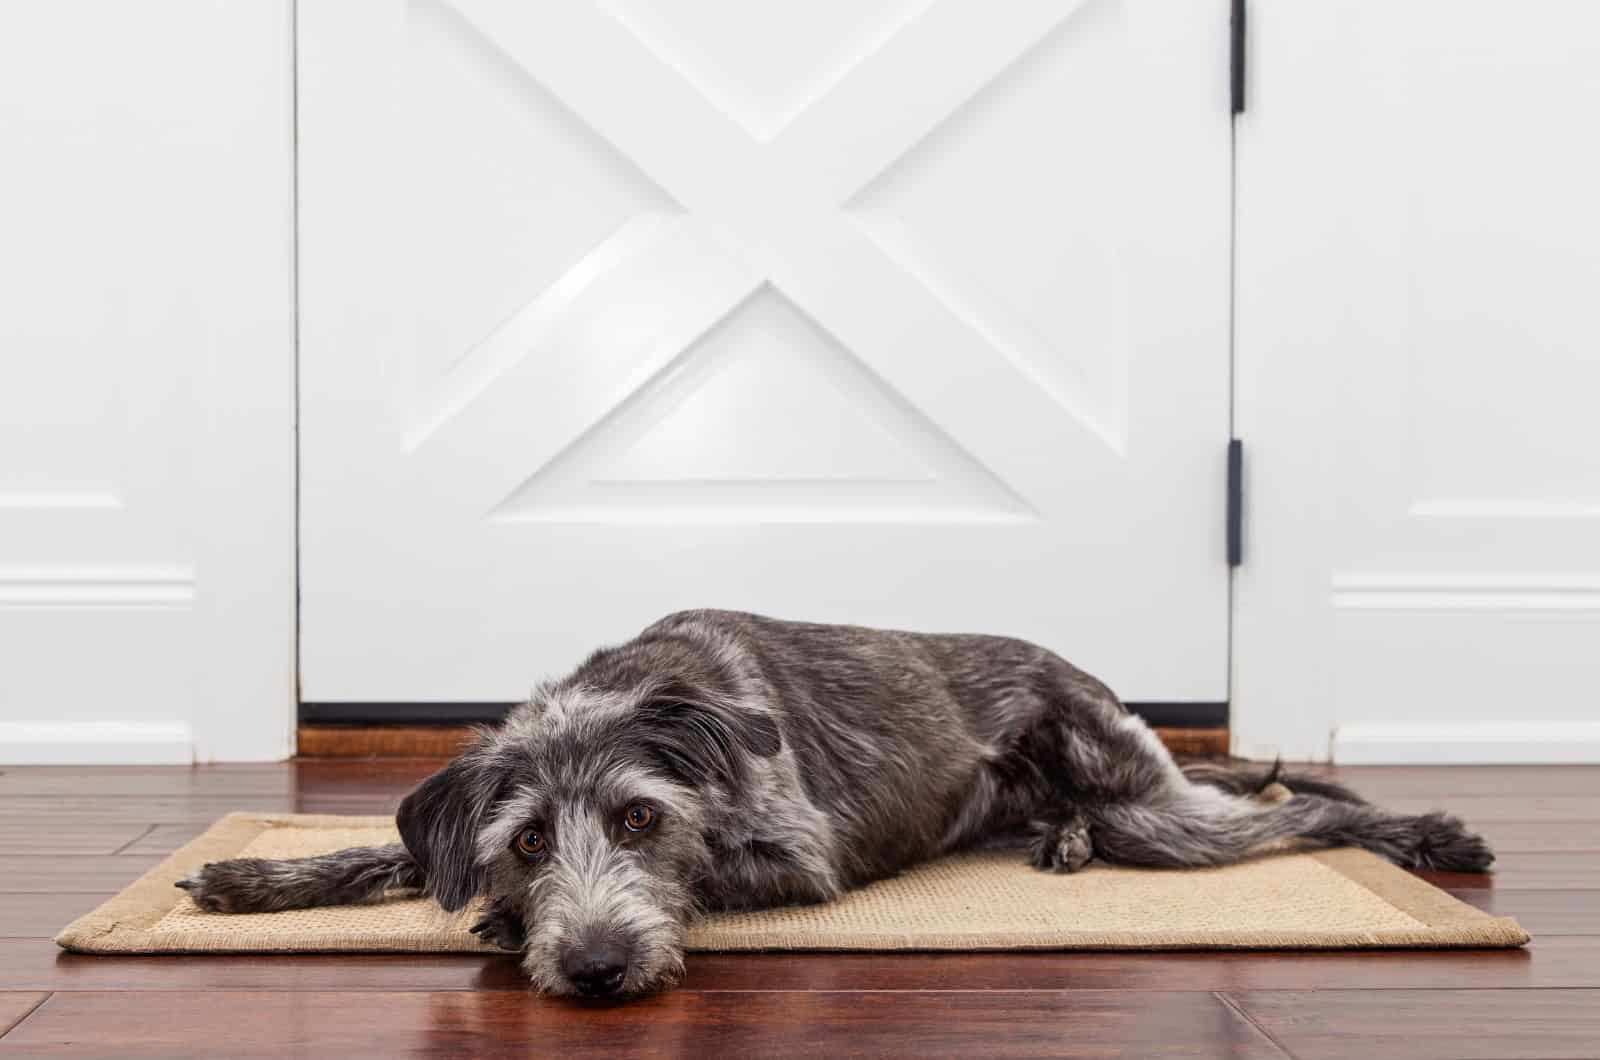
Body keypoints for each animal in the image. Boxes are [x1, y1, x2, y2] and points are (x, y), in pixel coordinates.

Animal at [181, 611, 1491, 999]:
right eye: (530, 837)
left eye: (642, 820)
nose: (598, 969)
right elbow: (389, 853)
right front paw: (251, 878)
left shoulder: (799, 861)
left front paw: (508, 927)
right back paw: (1056, 839)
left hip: (1150, 808)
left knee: (1297, 814)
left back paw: (1421, 834)